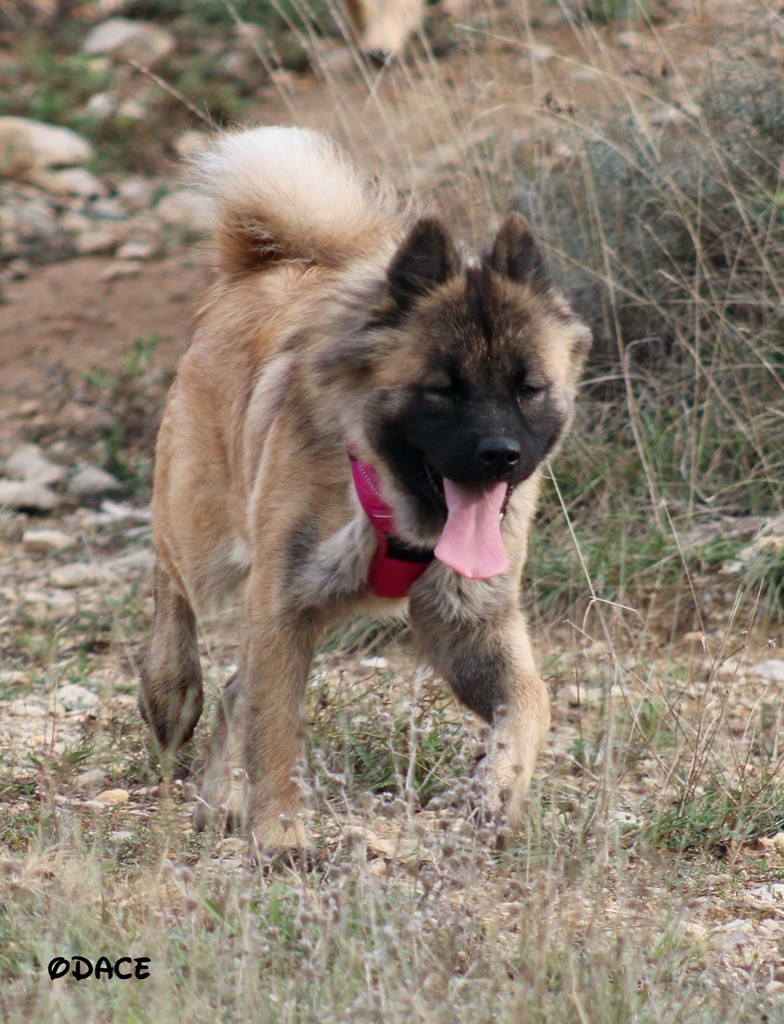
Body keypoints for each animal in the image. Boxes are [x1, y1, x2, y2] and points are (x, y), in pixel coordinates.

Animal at [141, 123, 593, 856]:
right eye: (442, 389)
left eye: (528, 388)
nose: (502, 456)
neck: (389, 499)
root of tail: (259, 269)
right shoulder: (284, 607)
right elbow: (276, 731)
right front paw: (282, 833)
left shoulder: (471, 628)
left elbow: (531, 704)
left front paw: (496, 793)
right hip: (201, 535)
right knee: (171, 583)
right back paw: (169, 689)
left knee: (236, 691)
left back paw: (221, 798)